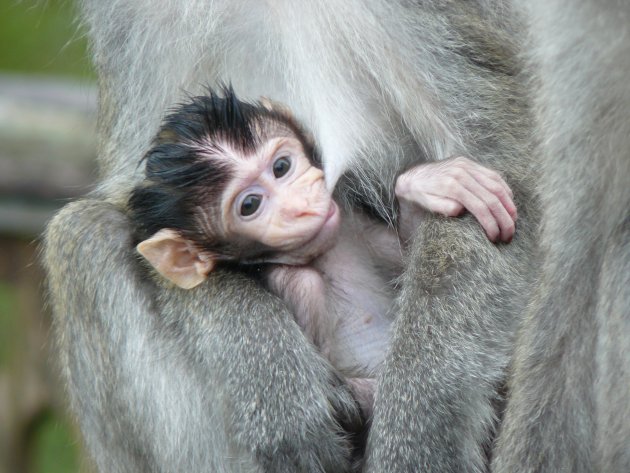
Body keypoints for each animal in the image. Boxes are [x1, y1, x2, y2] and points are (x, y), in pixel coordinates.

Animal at [128, 87, 520, 416]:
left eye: (281, 167)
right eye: (250, 205)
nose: (301, 205)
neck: (322, 255)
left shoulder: (350, 226)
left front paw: (432, 183)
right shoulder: (295, 285)